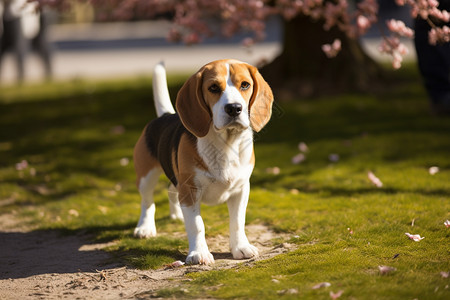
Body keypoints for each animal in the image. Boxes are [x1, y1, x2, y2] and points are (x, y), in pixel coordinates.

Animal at [134, 58, 274, 264]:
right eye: (213, 87)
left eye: (245, 85)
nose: (234, 108)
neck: (225, 144)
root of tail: (165, 115)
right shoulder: (190, 190)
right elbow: (197, 225)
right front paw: (198, 253)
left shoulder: (241, 189)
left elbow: (237, 222)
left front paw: (241, 247)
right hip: (147, 177)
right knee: (147, 202)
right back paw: (145, 227)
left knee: (171, 191)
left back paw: (176, 215)